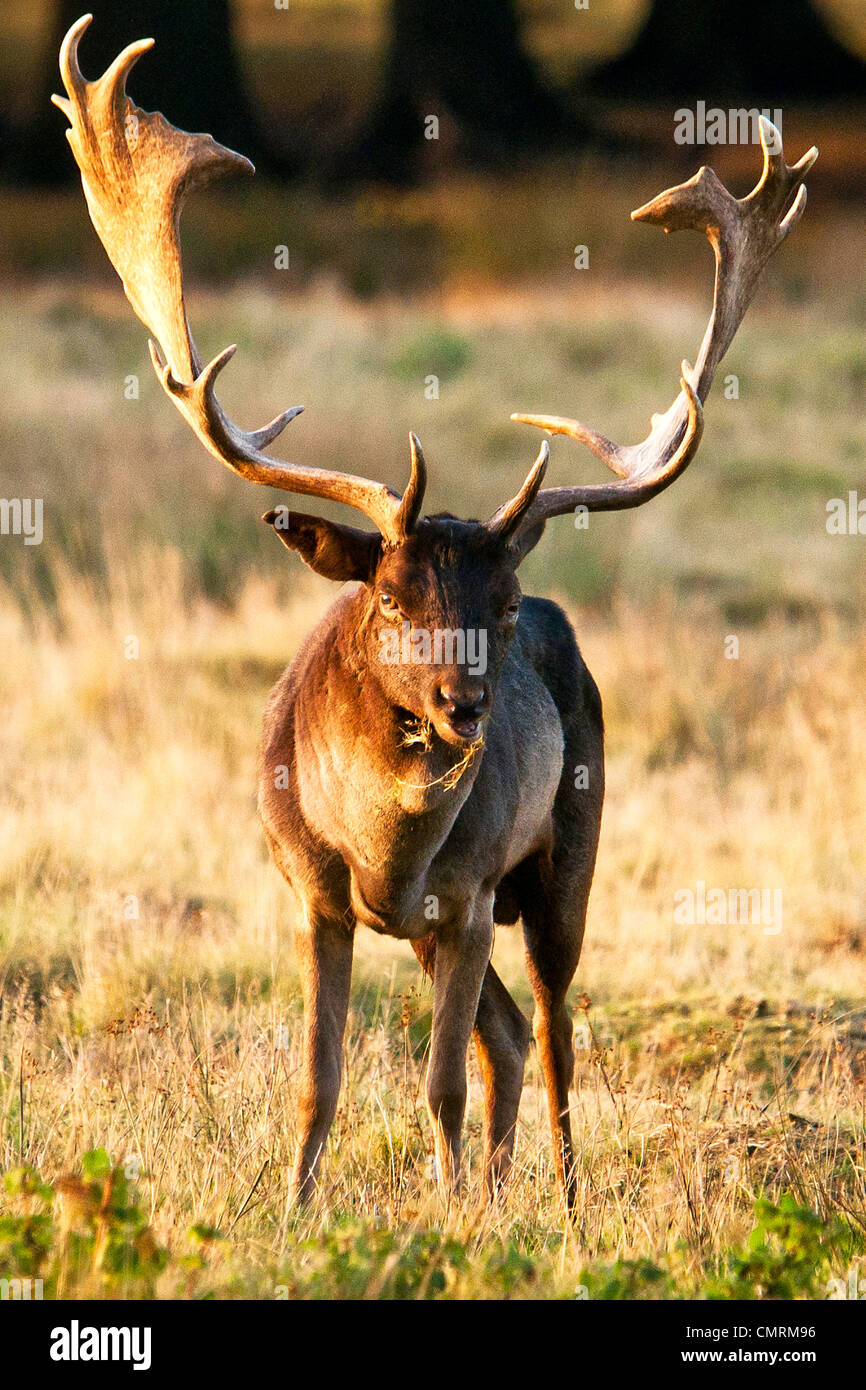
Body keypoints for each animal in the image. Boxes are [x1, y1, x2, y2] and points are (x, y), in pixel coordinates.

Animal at [55, 13, 817, 1206]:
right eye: (389, 593)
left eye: (500, 606)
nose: (464, 706)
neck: (383, 851)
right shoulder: (312, 893)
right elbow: (319, 1078)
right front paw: (298, 1207)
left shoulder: (463, 895)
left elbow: (439, 1081)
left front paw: (449, 1210)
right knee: (507, 1034)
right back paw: (504, 1189)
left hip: (564, 855)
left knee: (548, 1030)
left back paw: (556, 1201)